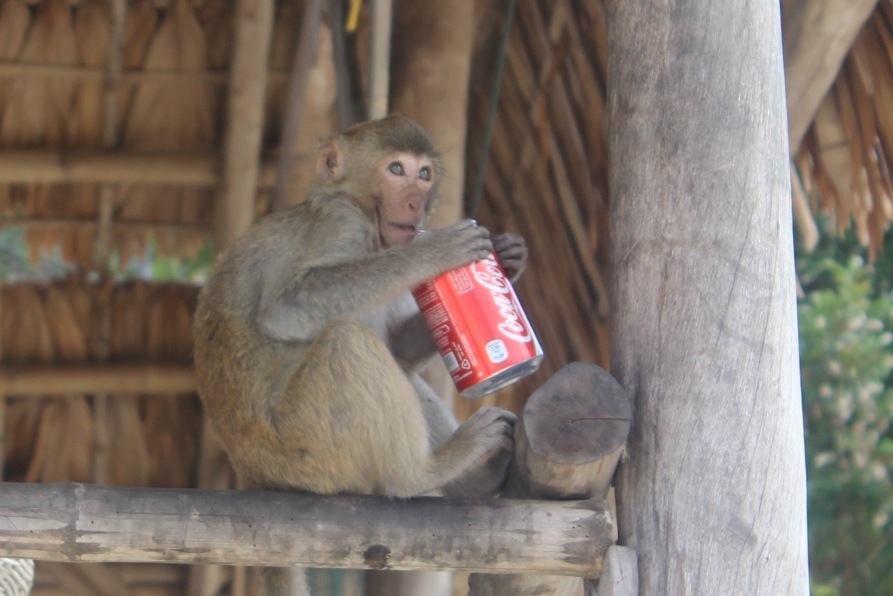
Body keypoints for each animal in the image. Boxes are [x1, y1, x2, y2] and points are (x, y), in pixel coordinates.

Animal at [192, 114, 528, 595]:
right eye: (397, 170)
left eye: (424, 174)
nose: (416, 204)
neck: (365, 215)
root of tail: (256, 476)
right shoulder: (341, 225)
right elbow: (287, 307)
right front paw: (434, 252)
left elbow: (399, 350)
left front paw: (507, 259)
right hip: (307, 448)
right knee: (347, 339)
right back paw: (420, 473)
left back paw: (475, 482)